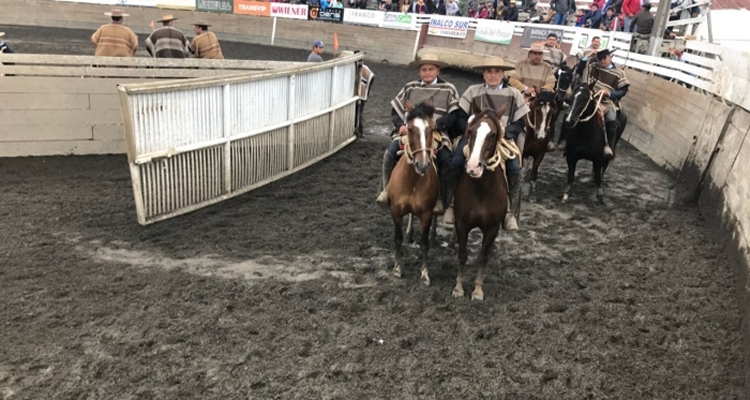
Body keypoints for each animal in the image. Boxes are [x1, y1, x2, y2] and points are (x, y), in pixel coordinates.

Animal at [388, 97, 440, 284]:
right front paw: (397, 268)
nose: (422, 165)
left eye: (432, 128)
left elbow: (424, 244)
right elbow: (397, 239)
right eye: (409, 129)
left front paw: (425, 273)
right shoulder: (395, 210)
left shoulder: (426, 214)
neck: (412, 181)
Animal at [452, 102, 512, 300]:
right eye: (470, 131)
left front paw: (478, 290)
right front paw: (458, 287)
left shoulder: (492, 227)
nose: (472, 166)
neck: (481, 191)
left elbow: (482, 257)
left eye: (492, 134)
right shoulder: (462, 224)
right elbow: (463, 254)